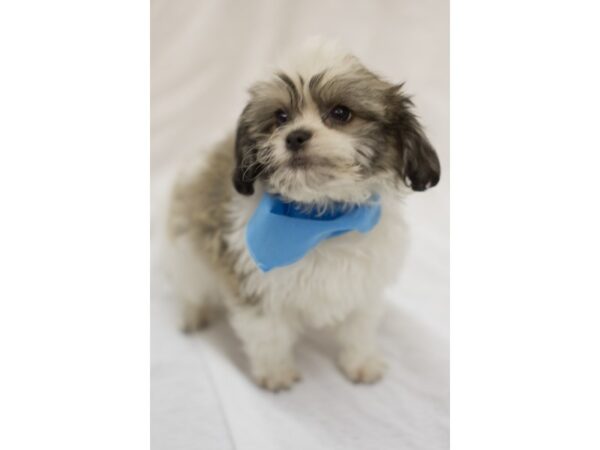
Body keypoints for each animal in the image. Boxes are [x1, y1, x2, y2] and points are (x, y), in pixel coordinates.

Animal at [165, 38, 440, 390]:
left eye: (341, 113)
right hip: (185, 249)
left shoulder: (364, 283)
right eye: (280, 117)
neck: (321, 220)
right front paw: (276, 373)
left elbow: (359, 327)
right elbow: (268, 333)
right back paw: (193, 314)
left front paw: (361, 362)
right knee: (191, 285)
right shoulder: (255, 283)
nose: (295, 136)